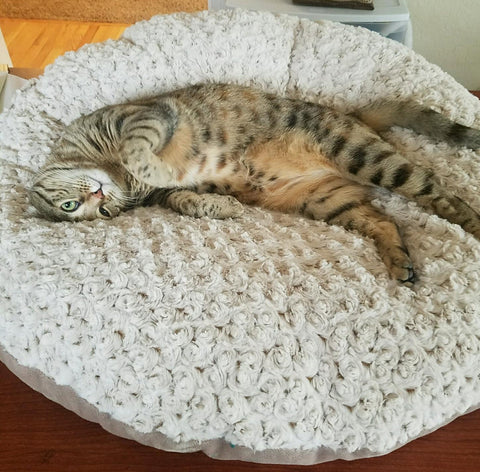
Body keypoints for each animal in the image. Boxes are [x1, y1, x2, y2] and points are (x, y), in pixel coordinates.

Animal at [28, 82, 480, 284]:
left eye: (70, 207)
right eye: (101, 212)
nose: (98, 197)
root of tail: (351, 115)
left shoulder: (146, 116)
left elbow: (136, 147)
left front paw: (145, 165)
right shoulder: (169, 194)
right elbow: (184, 201)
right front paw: (224, 207)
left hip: (365, 158)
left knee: (443, 195)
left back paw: (471, 224)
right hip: (327, 200)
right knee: (386, 221)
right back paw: (400, 262)